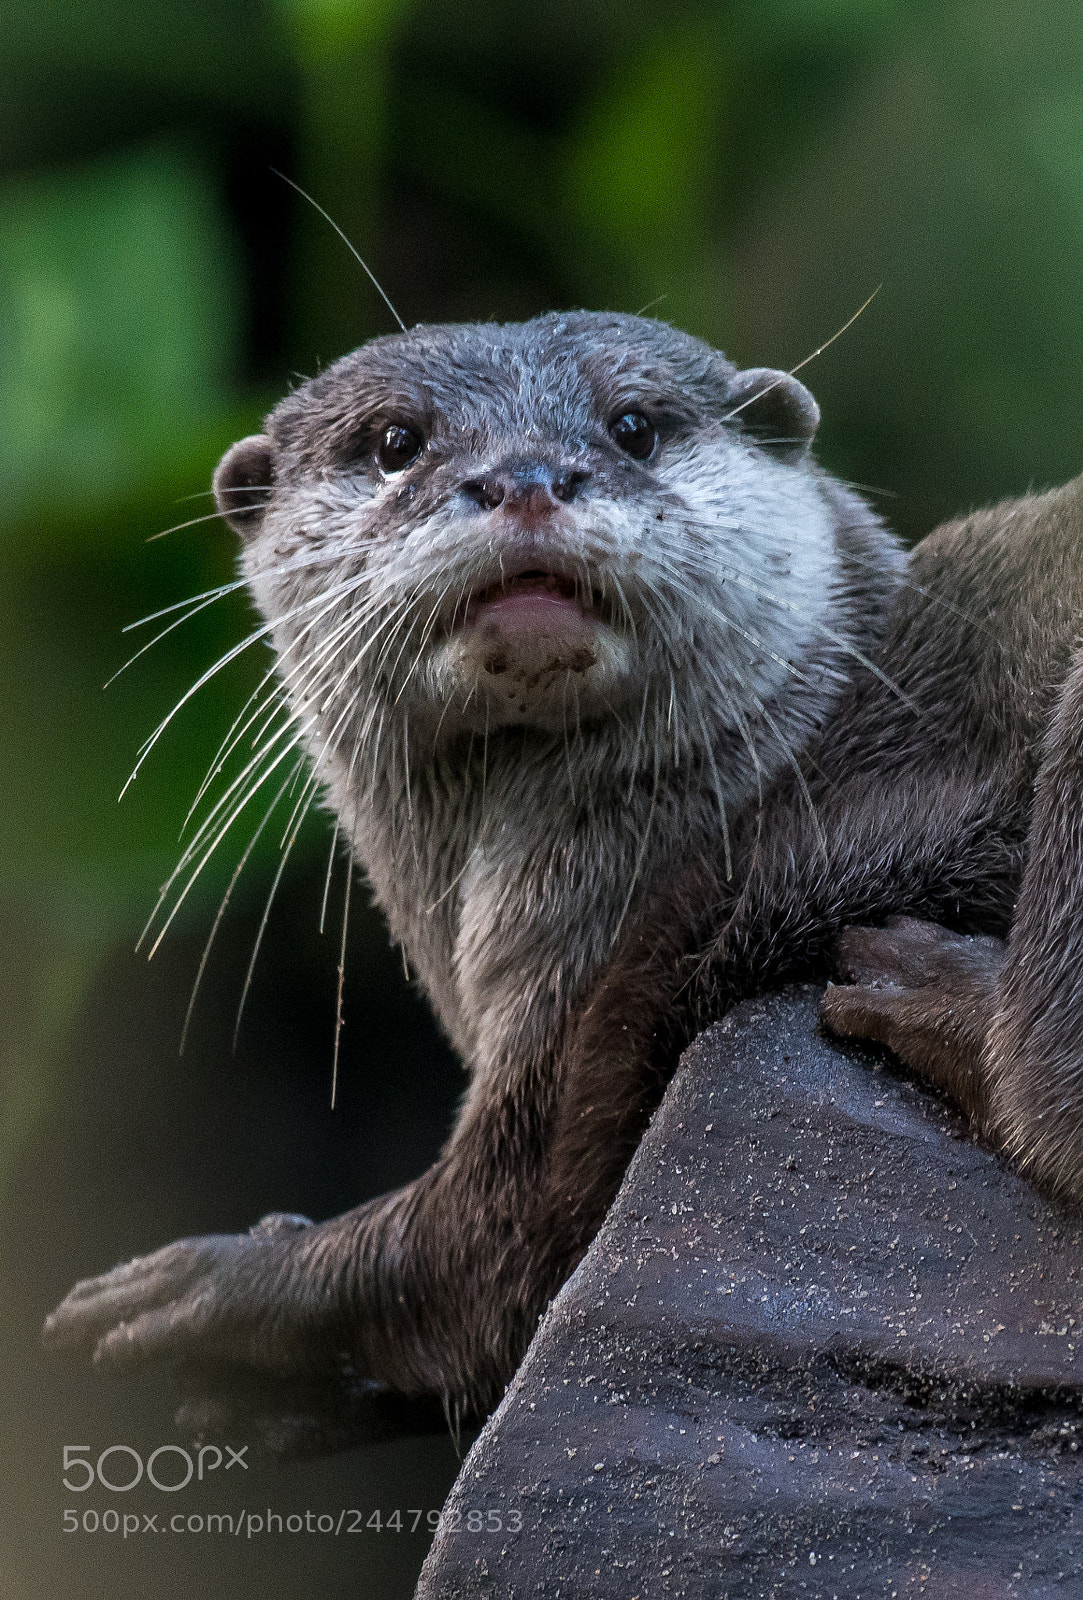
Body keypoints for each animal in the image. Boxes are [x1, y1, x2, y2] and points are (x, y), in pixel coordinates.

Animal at [42, 312, 1083, 1444]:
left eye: (632, 426)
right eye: (396, 441)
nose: (529, 479)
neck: (770, 783)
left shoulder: (594, 1024)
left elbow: (460, 1262)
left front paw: (208, 1284)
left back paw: (932, 992)